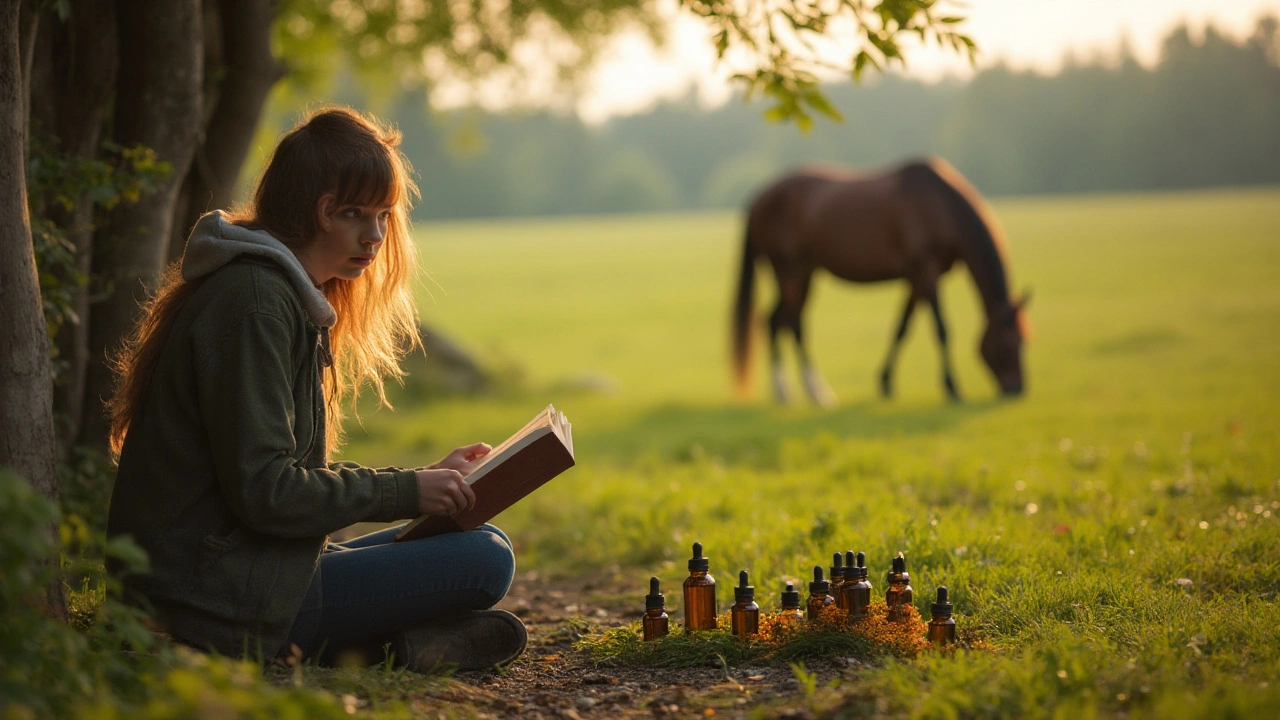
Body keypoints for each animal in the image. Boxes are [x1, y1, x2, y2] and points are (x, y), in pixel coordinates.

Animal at [737, 157, 1024, 404]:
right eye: (1009, 343)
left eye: (1025, 340)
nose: (1017, 389)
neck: (941, 206)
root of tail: (759, 198)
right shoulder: (927, 270)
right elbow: (941, 328)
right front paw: (952, 386)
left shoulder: (916, 278)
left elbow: (902, 328)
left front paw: (886, 383)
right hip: (788, 269)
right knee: (794, 324)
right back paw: (816, 392)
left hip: (804, 272)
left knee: (774, 320)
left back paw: (784, 391)